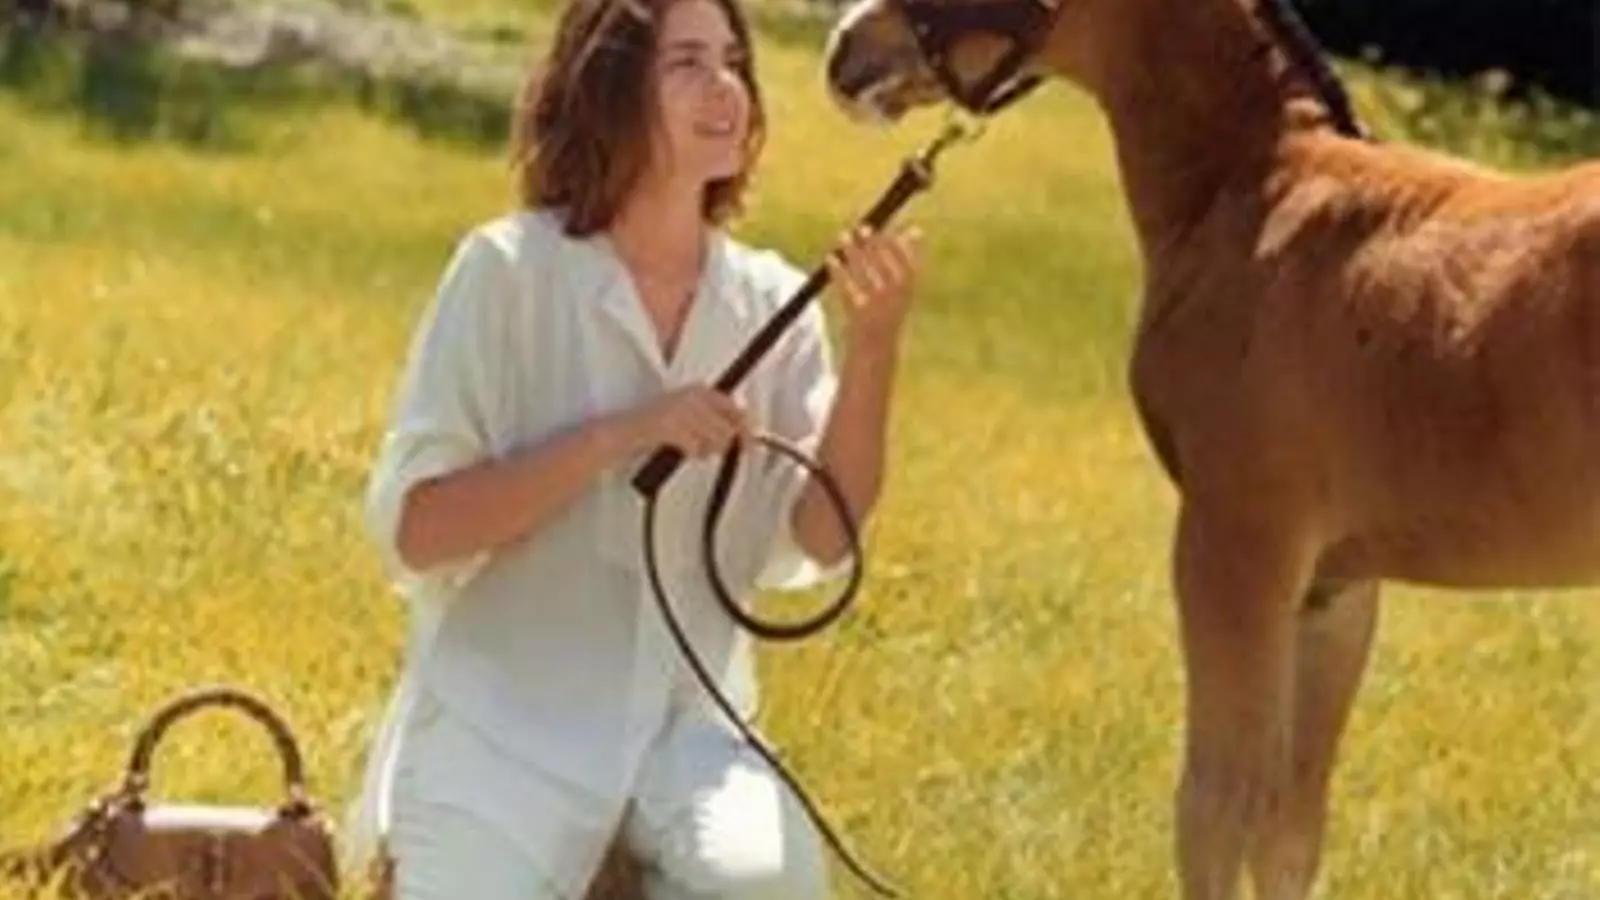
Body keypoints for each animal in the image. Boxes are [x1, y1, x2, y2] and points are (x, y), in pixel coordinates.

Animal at [819, 0, 1600, 897]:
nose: (844, 49)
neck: (1253, 189)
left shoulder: (1235, 543)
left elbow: (1216, 803)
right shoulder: (1334, 584)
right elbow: (1290, 825)